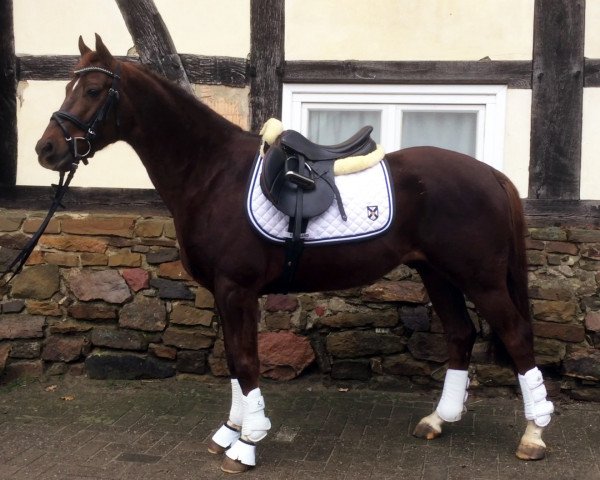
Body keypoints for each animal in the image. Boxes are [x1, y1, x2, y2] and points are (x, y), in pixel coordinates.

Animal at [35, 36, 552, 472]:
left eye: (94, 89)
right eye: (67, 86)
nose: (46, 149)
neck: (212, 173)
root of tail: (492, 175)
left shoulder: (237, 290)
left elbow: (246, 362)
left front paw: (247, 444)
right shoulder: (223, 293)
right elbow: (233, 360)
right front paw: (231, 431)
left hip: (480, 279)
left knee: (517, 335)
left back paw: (533, 435)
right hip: (437, 273)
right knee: (461, 334)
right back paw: (438, 420)